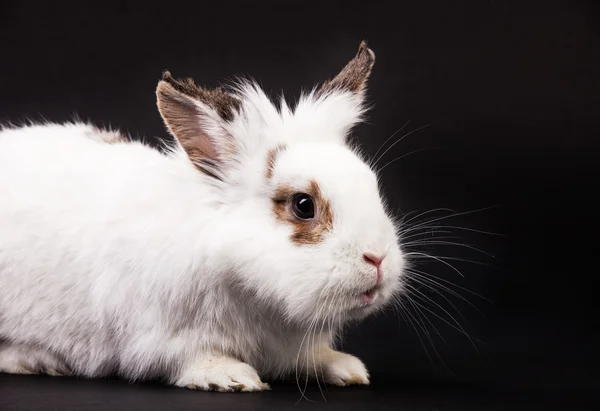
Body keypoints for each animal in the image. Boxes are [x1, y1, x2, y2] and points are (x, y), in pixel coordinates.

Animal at [0, 41, 406, 392]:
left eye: (371, 184)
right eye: (303, 205)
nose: (377, 258)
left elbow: (310, 357)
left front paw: (346, 367)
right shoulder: (160, 336)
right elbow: (191, 358)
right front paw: (232, 377)